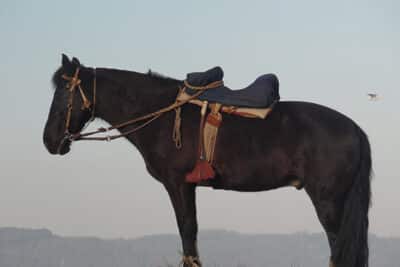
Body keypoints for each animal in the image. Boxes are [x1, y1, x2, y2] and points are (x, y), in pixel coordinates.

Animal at [43, 55, 372, 267]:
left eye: (65, 93)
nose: (49, 140)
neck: (160, 113)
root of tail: (355, 128)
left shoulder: (178, 184)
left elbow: (188, 233)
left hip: (329, 202)